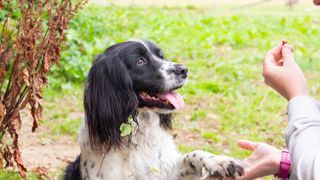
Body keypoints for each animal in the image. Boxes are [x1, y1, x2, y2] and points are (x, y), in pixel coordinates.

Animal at [65, 40, 245, 179]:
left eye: (160, 56)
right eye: (140, 61)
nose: (184, 70)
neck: (137, 136)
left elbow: (192, 154)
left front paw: (218, 161)